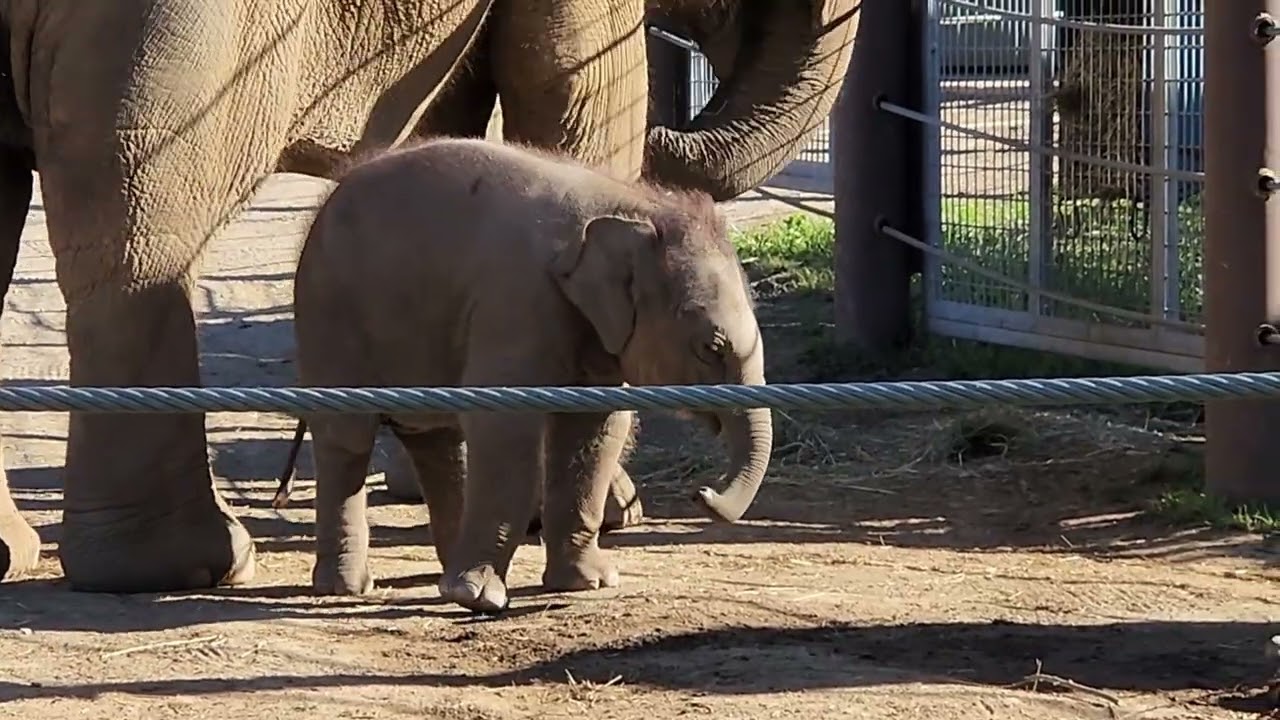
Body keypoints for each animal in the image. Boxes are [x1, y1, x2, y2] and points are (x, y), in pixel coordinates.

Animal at [291, 137, 773, 612]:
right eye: (710, 348)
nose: (701, 492)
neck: (633, 206)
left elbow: (595, 430)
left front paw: (589, 583)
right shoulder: (516, 304)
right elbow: (505, 425)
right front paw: (479, 599)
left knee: (438, 442)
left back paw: (441, 577)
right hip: (329, 314)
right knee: (347, 437)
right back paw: (350, 588)